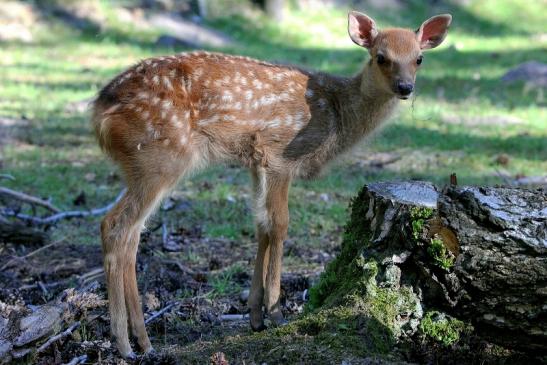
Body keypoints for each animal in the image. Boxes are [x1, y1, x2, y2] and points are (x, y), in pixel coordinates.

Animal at [92, 10, 454, 356]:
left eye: (419, 58)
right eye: (380, 57)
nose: (405, 87)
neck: (337, 116)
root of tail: (98, 111)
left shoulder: (256, 162)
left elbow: (261, 225)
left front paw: (255, 315)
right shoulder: (281, 154)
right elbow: (280, 225)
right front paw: (276, 311)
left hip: (145, 165)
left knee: (131, 233)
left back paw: (140, 339)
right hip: (161, 157)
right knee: (115, 225)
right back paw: (126, 343)